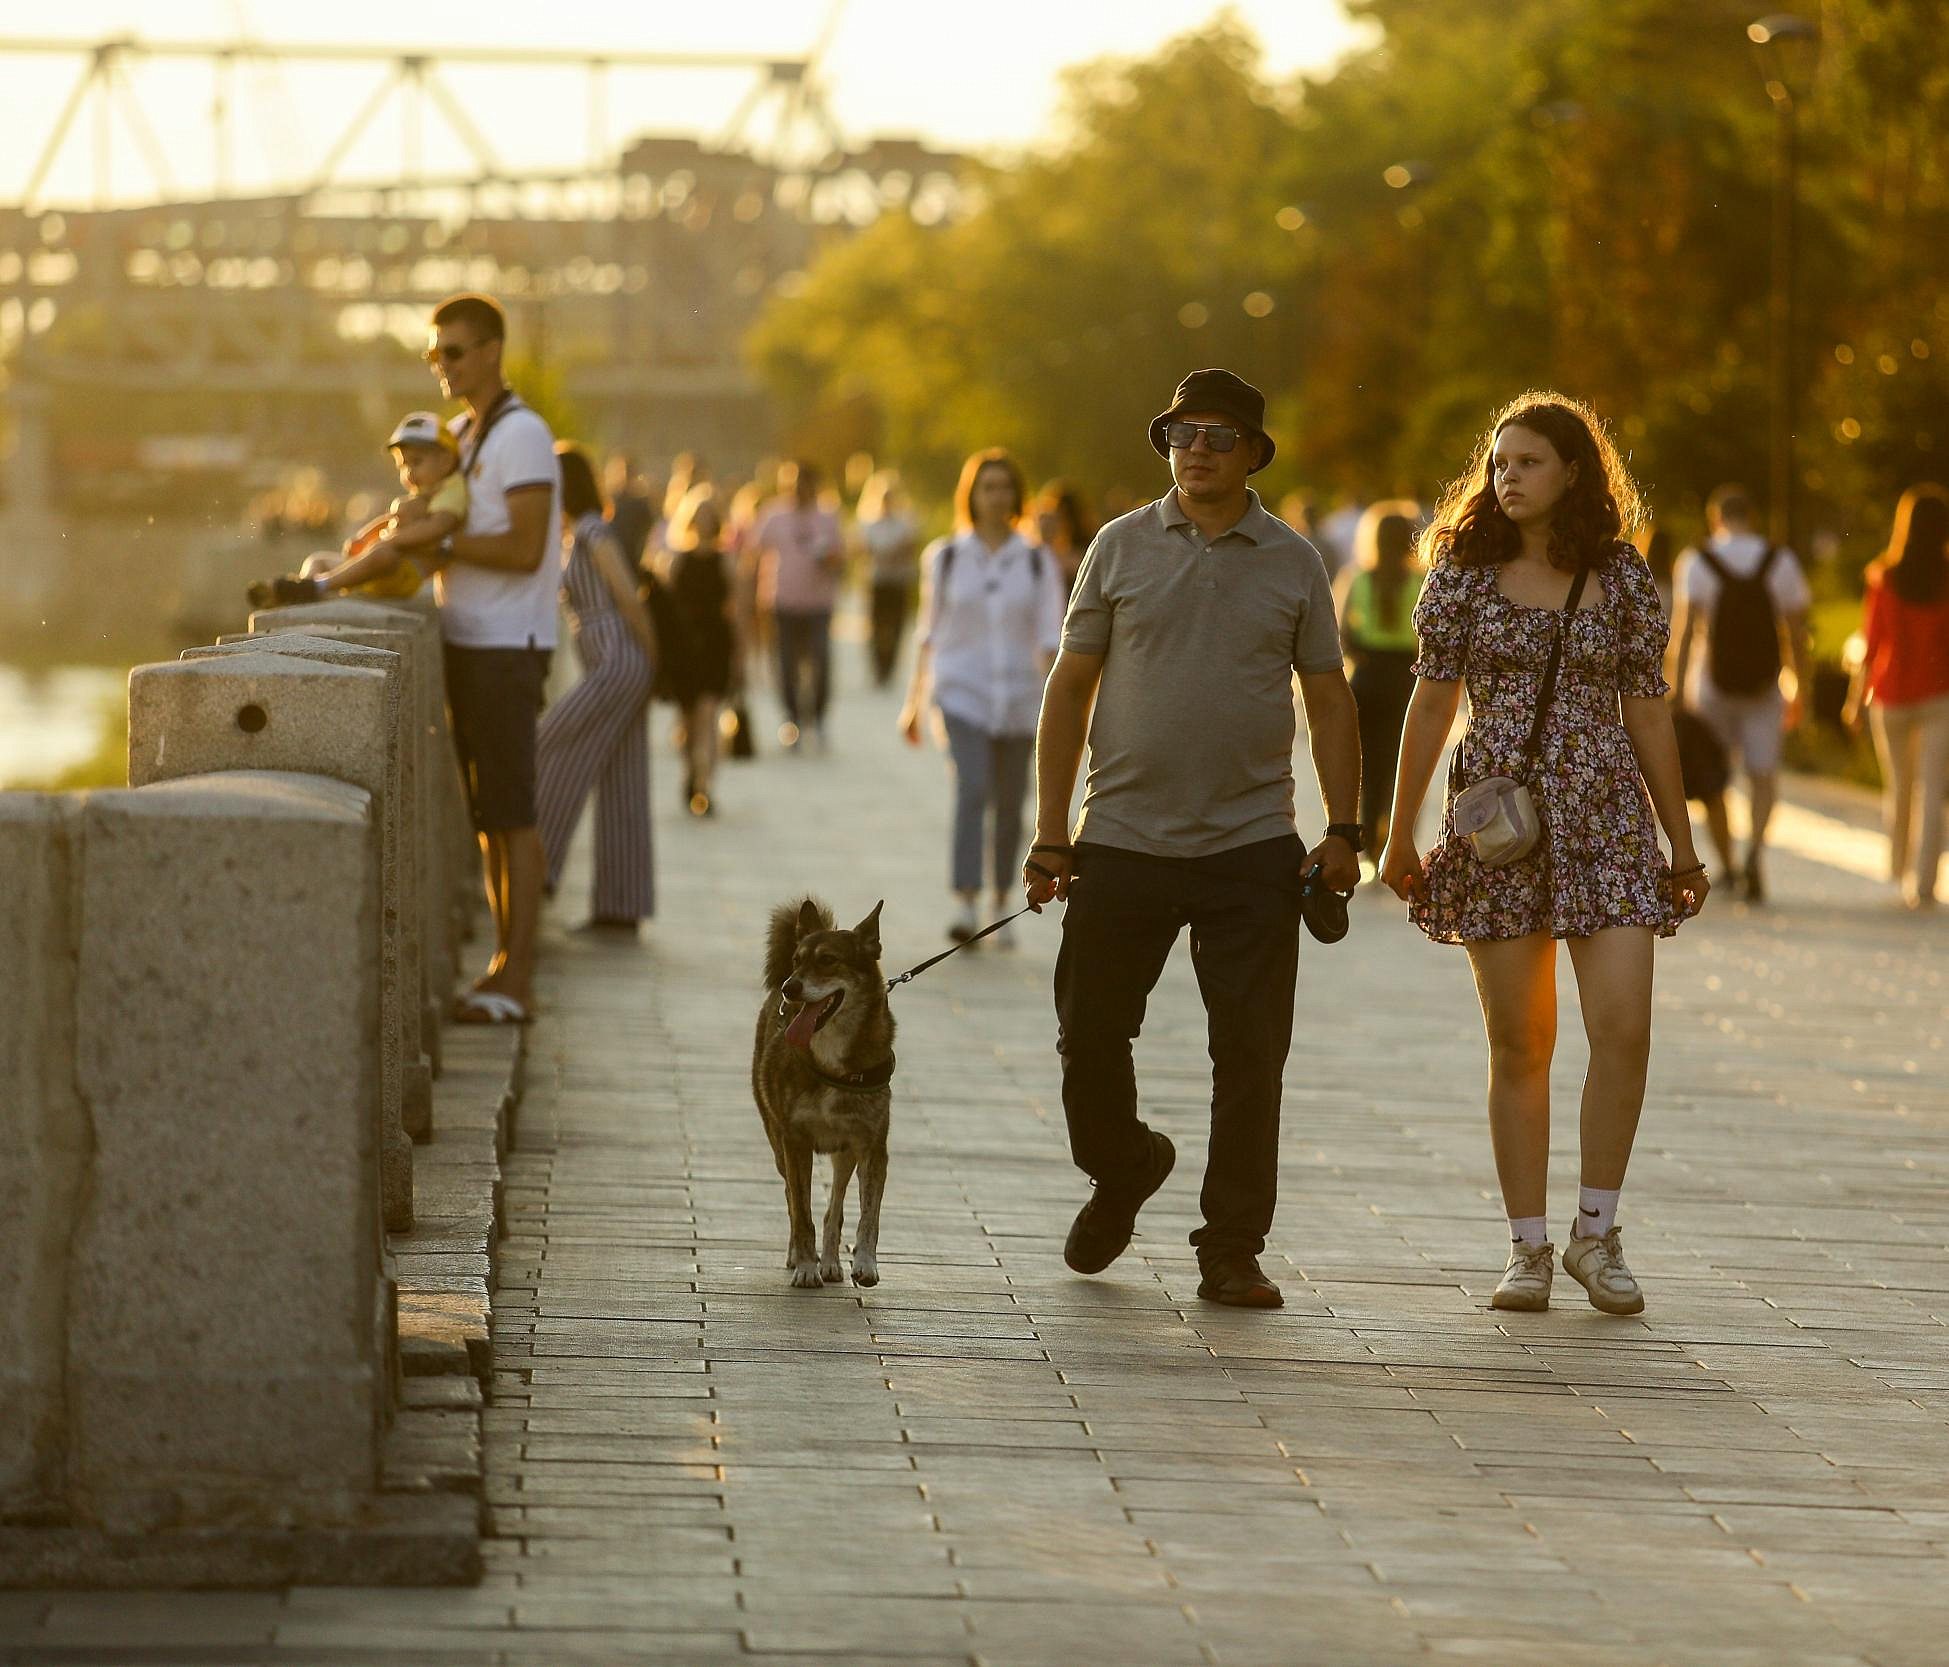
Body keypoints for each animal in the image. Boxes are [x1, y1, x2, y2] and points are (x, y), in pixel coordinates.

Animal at [748, 900, 892, 1294]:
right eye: (797, 960)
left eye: (828, 960)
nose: (790, 987)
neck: (833, 1060)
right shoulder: (794, 1141)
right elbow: (802, 1211)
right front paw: (805, 1267)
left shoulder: (873, 1146)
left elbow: (868, 1216)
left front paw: (865, 1264)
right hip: (778, 1144)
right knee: (792, 1200)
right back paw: (801, 1256)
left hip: (846, 1153)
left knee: (834, 1207)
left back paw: (830, 1263)